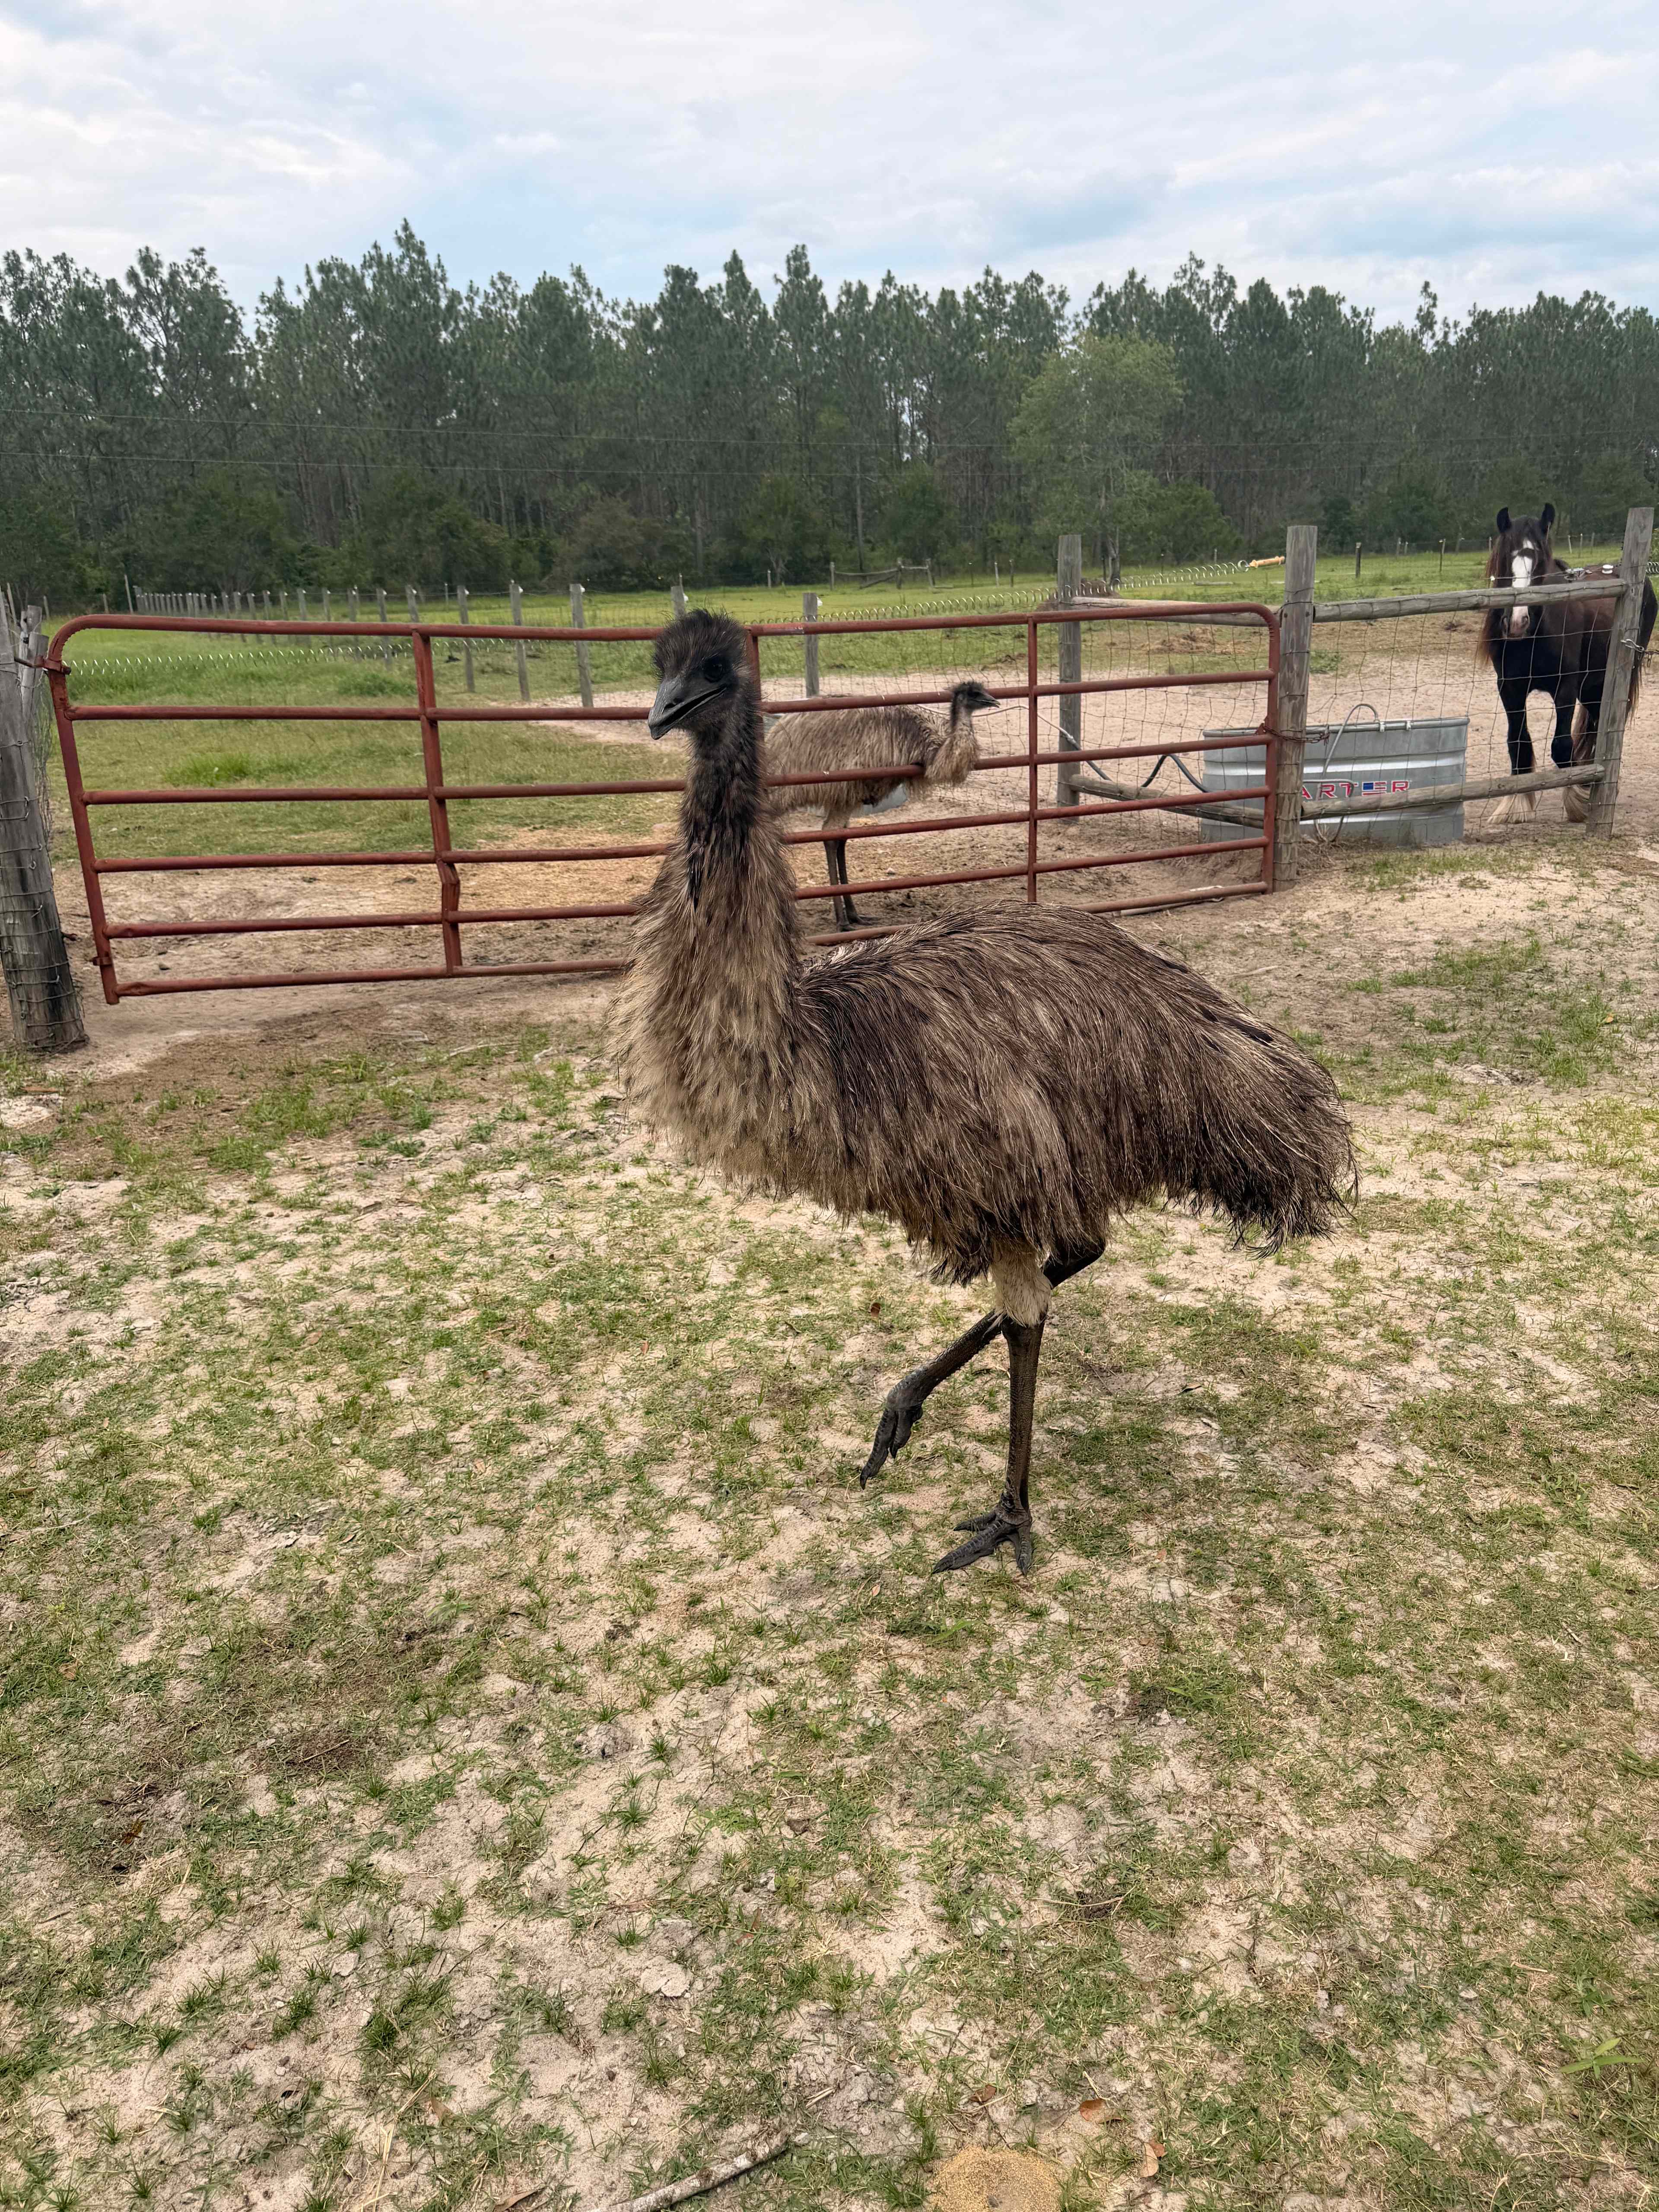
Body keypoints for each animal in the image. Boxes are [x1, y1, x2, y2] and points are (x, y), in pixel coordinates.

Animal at [1479, 504, 1657, 826]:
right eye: (1506, 557)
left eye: (1539, 562)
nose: (1517, 622)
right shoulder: (1510, 689)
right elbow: (1518, 743)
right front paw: (1516, 805)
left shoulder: (1566, 687)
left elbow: (1561, 747)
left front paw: (1578, 798)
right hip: (1592, 686)